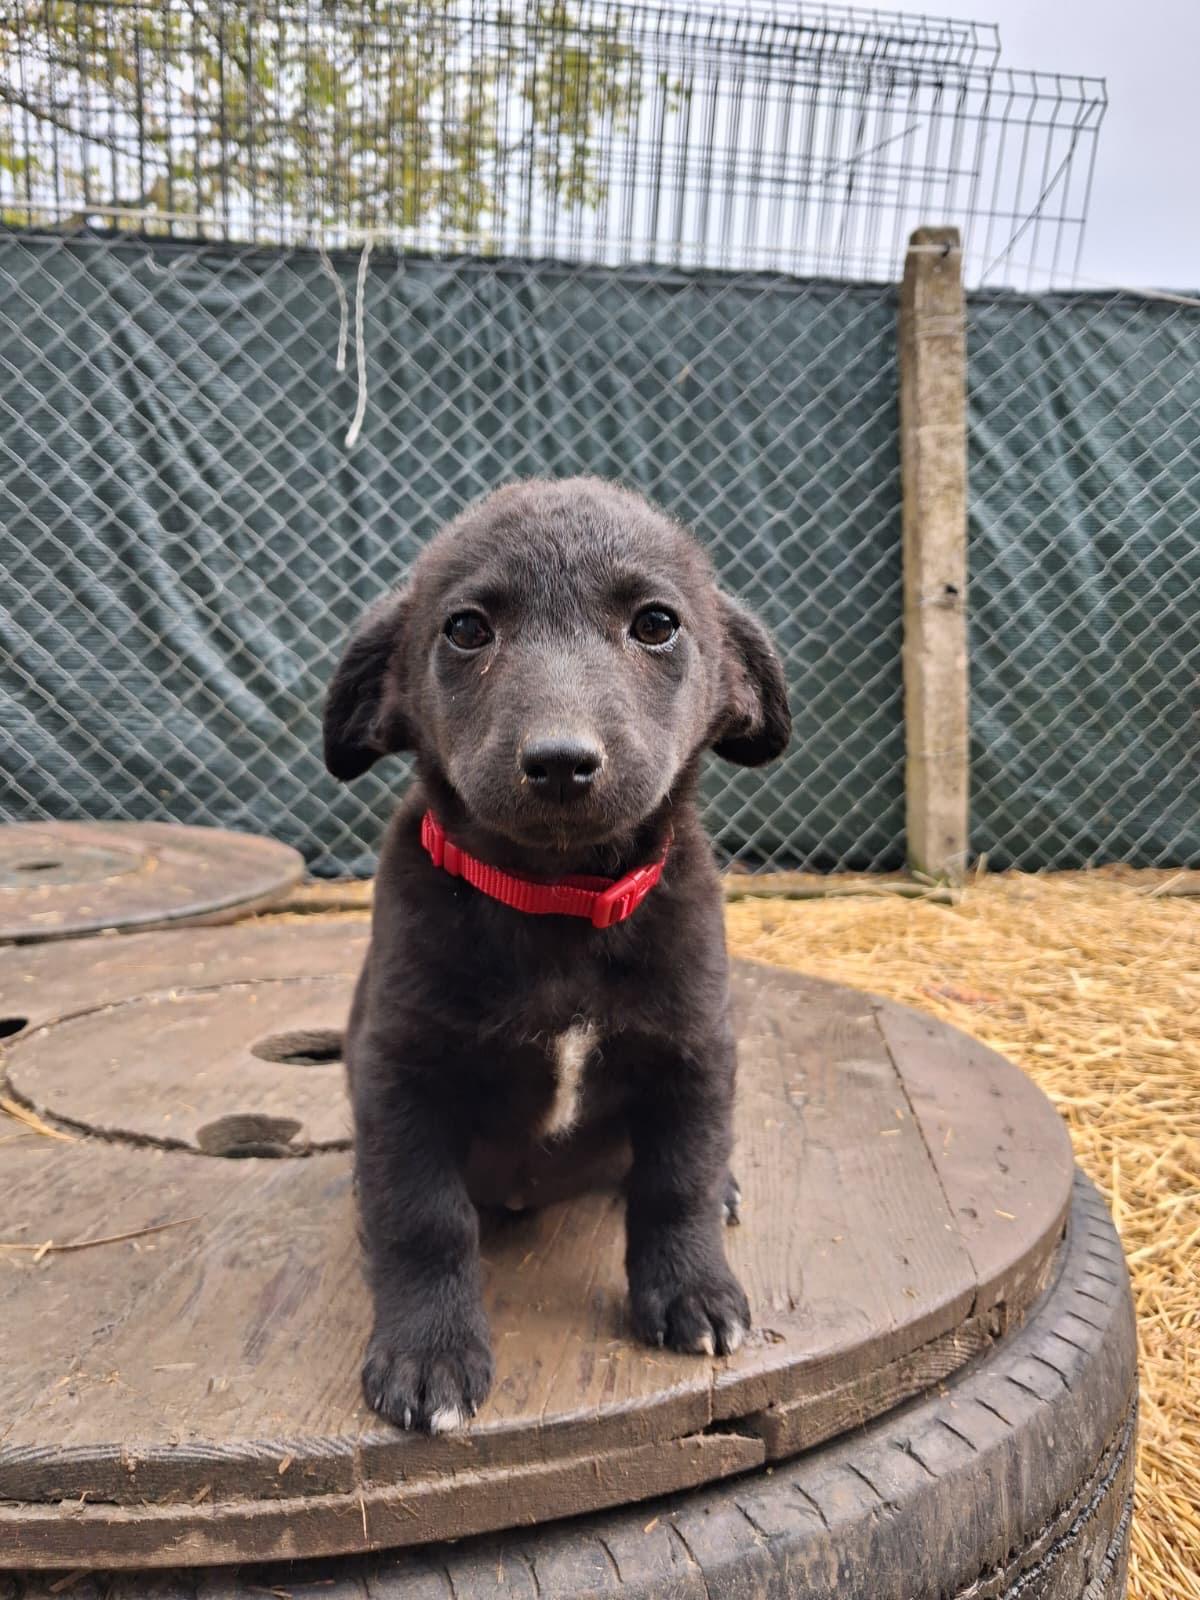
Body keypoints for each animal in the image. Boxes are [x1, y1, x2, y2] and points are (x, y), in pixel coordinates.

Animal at [322, 476, 790, 1432]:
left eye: (656, 624)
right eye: (467, 629)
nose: (563, 762)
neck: (559, 908)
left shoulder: (696, 1052)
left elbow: (677, 1181)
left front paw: (693, 1292)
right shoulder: (400, 1073)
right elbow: (423, 1218)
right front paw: (428, 1352)